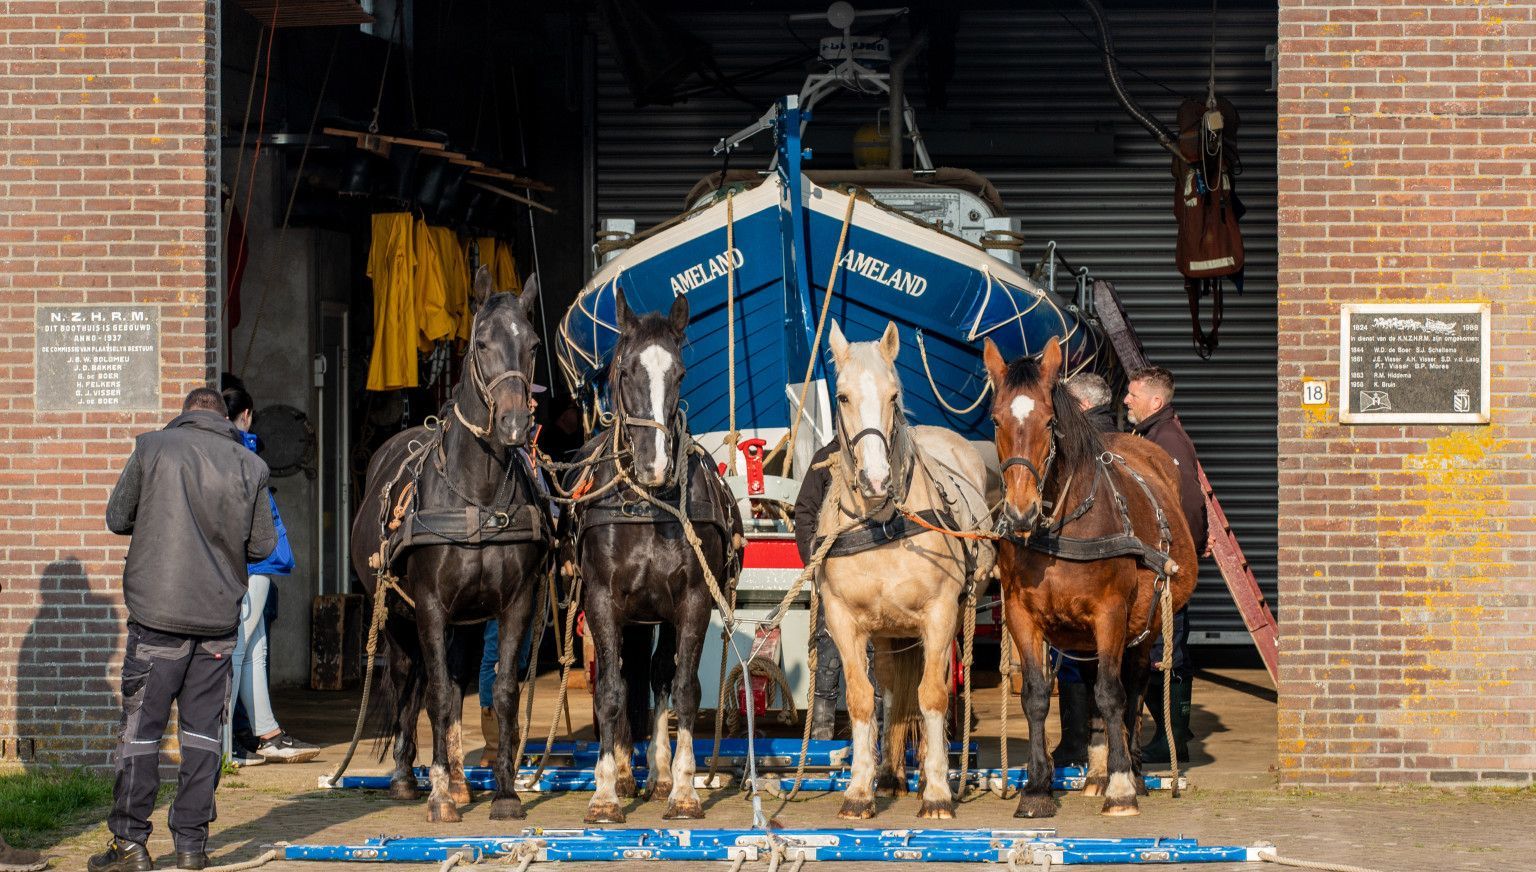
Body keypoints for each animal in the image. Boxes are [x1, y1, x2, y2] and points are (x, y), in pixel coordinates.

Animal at [350, 267, 552, 822]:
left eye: (532, 344)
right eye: (481, 343)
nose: (515, 424)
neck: (476, 497)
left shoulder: (514, 604)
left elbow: (500, 693)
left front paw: (504, 795)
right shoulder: (430, 606)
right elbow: (436, 695)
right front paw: (438, 797)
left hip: (467, 621)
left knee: (460, 682)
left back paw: (461, 780)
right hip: (397, 617)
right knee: (406, 683)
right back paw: (408, 779)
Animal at [562, 287, 740, 822]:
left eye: (679, 372)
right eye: (624, 371)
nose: (656, 464)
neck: (646, 503)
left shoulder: (692, 602)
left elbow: (683, 688)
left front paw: (682, 788)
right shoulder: (602, 601)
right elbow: (610, 690)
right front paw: (604, 794)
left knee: (659, 676)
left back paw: (658, 774)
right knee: (624, 676)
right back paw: (623, 772)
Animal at [817, 317, 995, 816]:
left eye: (894, 395)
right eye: (842, 396)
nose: (876, 480)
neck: (882, 523)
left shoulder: (939, 615)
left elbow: (932, 696)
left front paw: (935, 791)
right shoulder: (844, 621)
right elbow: (863, 700)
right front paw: (860, 789)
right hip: (888, 633)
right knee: (893, 691)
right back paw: (892, 774)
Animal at [983, 336, 1198, 816]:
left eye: (1049, 421)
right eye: (996, 419)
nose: (1020, 511)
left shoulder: (1111, 613)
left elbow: (1111, 693)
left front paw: (1121, 786)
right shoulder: (1021, 614)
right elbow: (1037, 696)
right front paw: (1037, 789)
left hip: (1145, 622)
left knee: (1133, 685)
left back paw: (1129, 769)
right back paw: (1098, 772)